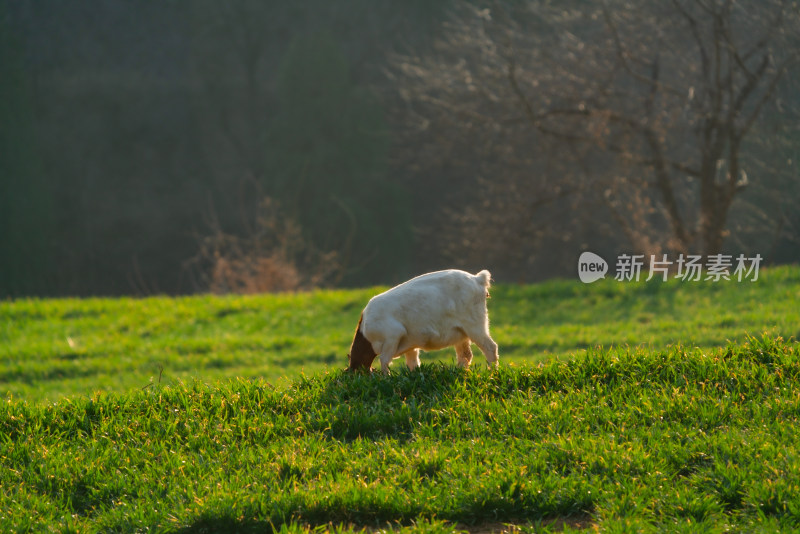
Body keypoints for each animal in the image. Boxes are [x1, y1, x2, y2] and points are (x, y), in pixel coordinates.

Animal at [346, 270, 496, 374]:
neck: (366, 333)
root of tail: (477, 279)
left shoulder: (393, 335)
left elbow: (384, 360)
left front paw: (386, 377)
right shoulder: (411, 344)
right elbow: (412, 362)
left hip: (475, 325)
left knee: (490, 347)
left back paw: (492, 372)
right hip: (461, 333)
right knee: (465, 355)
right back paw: (459, 371)